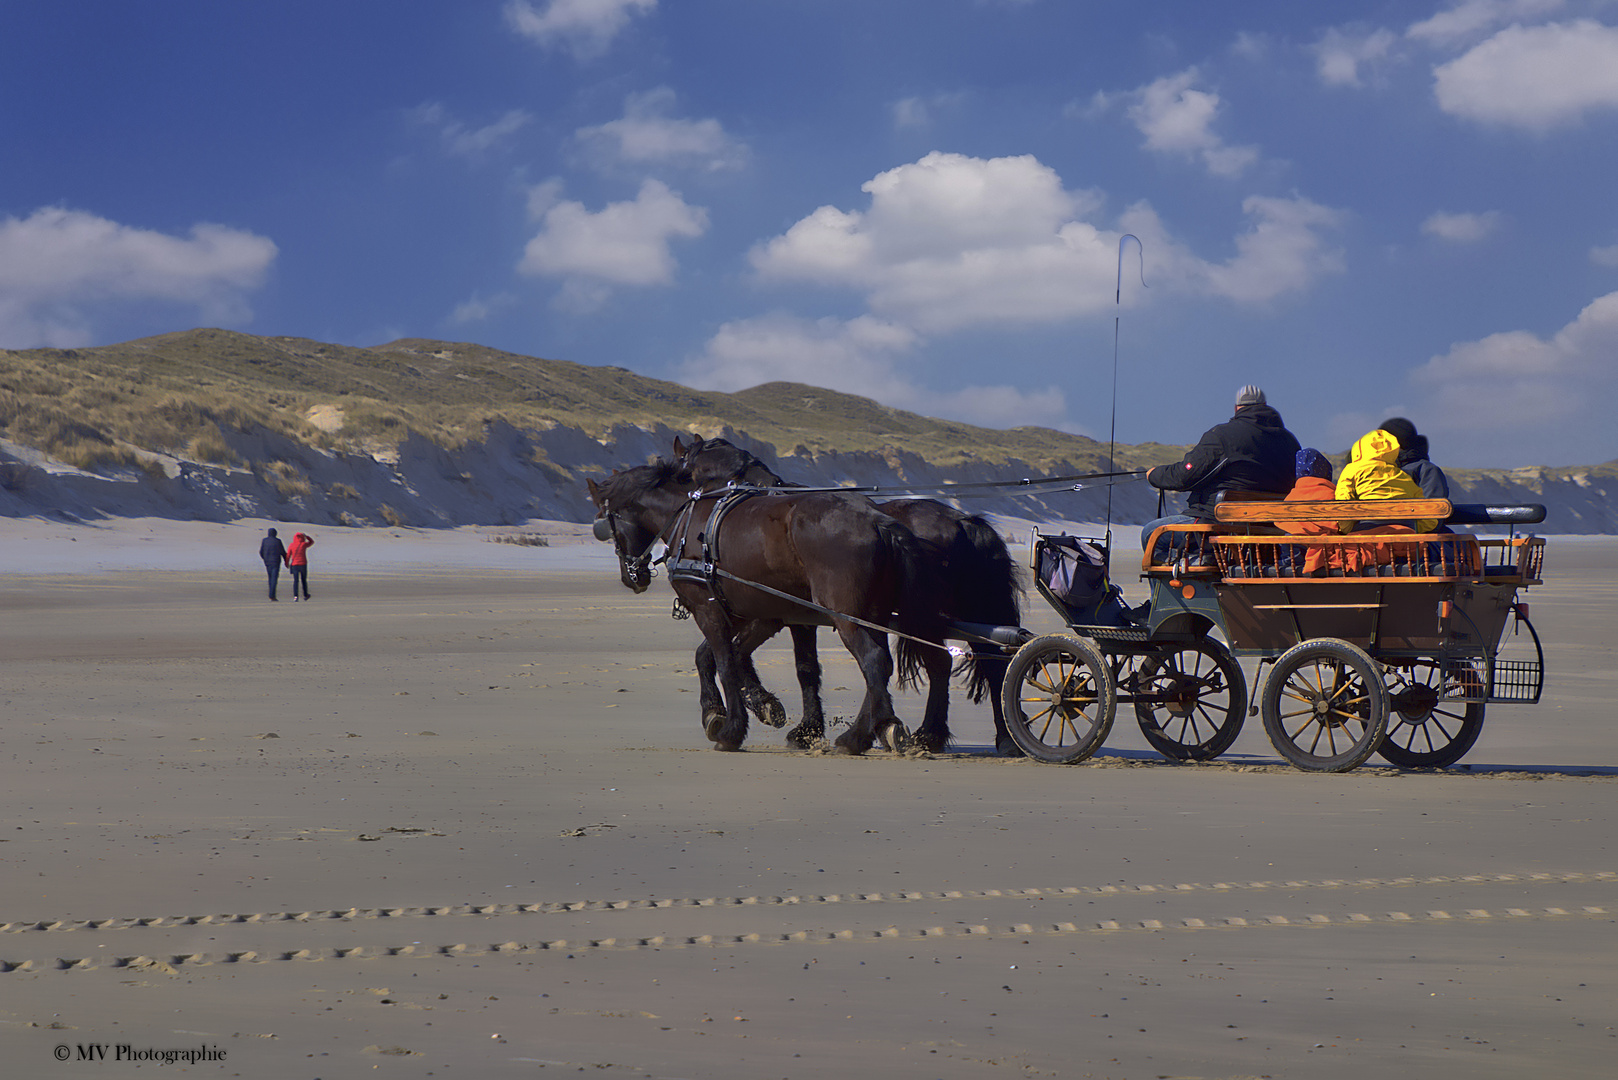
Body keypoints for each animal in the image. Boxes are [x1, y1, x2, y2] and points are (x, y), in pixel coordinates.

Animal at [592, 459, 944, 757]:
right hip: (873, 615)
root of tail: (877, 519)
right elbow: (719, 656)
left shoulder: (709, 609)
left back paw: (863, 736)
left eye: (606, 525)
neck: (689, 519)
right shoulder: (760, 614)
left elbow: (725, 662)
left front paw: (732, 729)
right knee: (885, 666)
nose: (631, 577)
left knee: (874, 662)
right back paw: (879, 730)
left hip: (849, 618)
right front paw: (742, 709)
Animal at [669, 433, 1022, 757]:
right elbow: (727, 654)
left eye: (684, 467)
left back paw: (896, 734)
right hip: (962, 613)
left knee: (911, 663)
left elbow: (769, 662)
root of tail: (963, 522)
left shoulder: (774, 614)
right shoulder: (774, 613)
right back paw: (990, 738)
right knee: (988, 665)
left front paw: (781, 723)